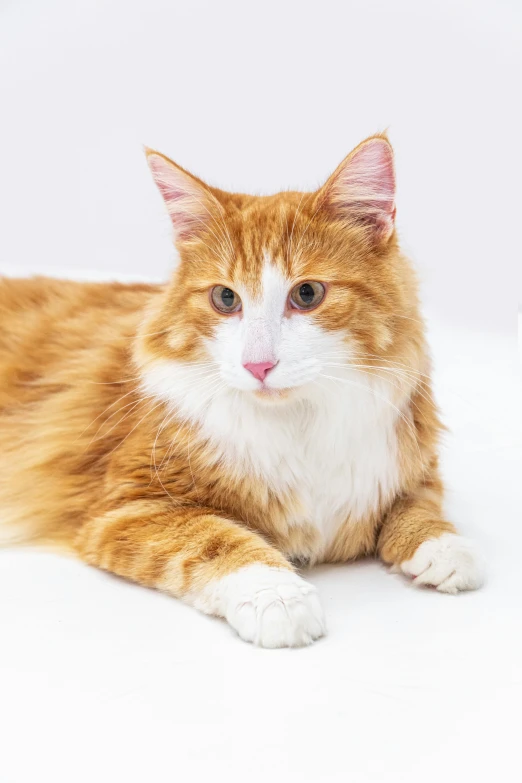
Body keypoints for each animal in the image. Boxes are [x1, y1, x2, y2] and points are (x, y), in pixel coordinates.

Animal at [0, 136, 482, 648]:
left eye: (307, 294)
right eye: (225, 298)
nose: (258, 366)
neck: (300, 424)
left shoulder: (405, 462)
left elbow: (419, 505)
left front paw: (443, 546)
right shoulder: (126, 507)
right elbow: (217, 538)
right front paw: (278, 597)